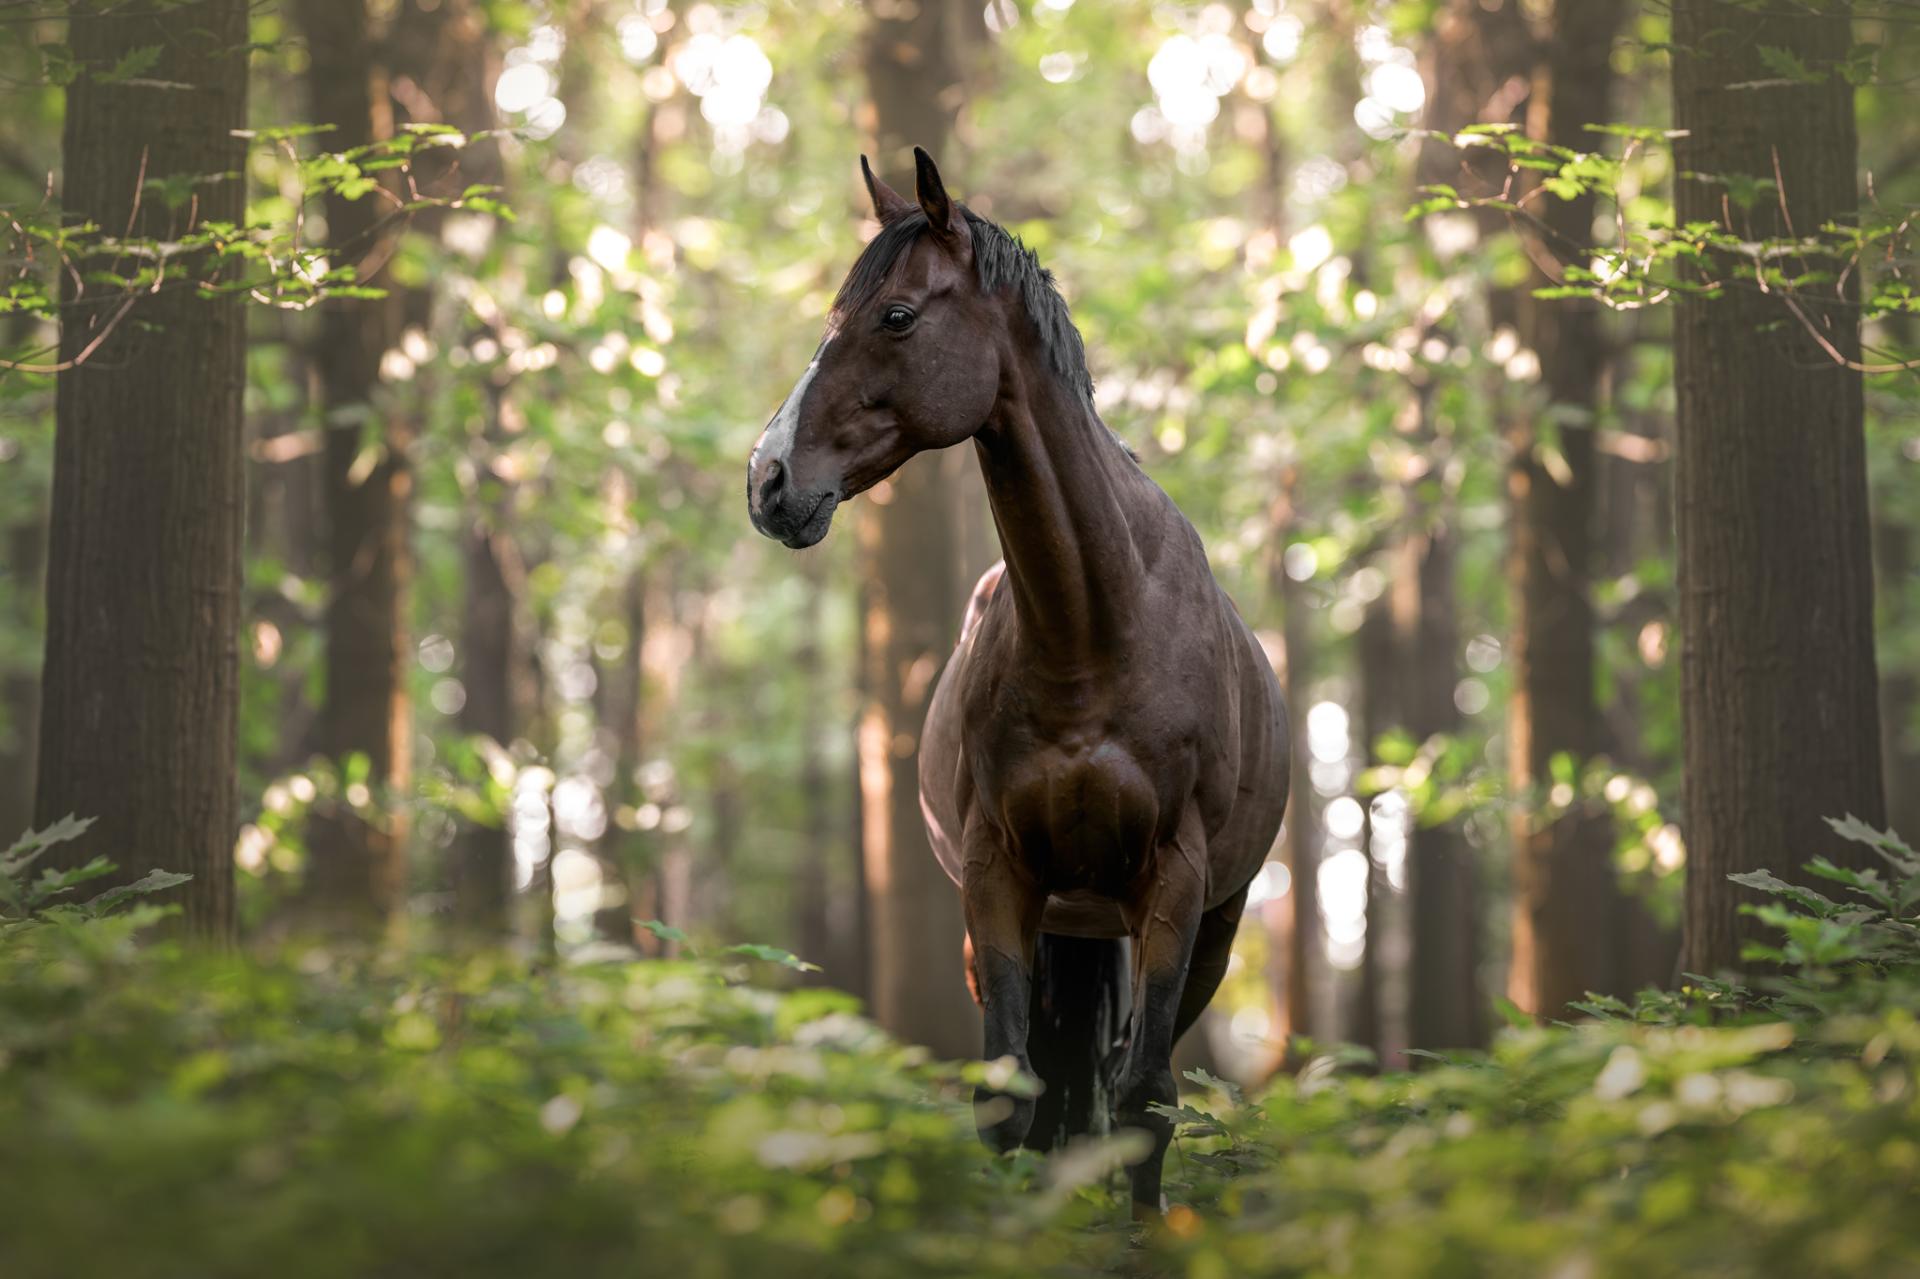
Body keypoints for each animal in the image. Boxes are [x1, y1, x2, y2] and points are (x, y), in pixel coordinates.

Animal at [748, 149, 1290, 1213]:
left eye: (896, 316)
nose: (768, 479)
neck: (1093, 631)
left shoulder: (1178, 882)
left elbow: (1146, 1095)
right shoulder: (998, 874)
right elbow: (1008, 1098)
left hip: (1210, 929)